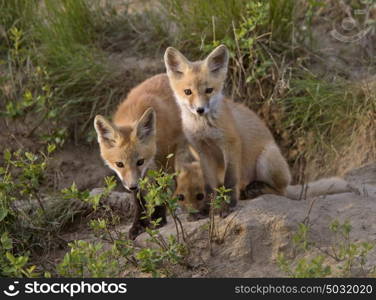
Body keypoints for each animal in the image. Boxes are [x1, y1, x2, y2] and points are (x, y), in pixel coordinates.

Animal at [94, 73, 187, 239]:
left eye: (140, 161)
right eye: (119, 164)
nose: (132, 186)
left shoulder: (163, 157)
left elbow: (161, 187)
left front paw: (158, 217)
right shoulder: (135, 177)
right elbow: (138, 199)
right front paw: (139, 225)